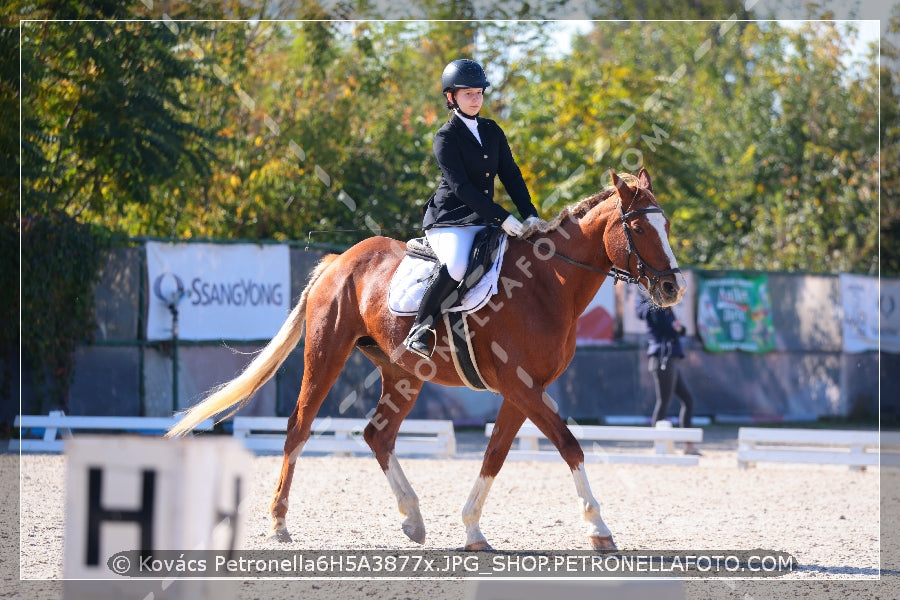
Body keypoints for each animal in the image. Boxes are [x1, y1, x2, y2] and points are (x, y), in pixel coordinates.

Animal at [169, 169, 684, 552]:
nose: (672, 287)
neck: (547, 284)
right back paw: (279, 523)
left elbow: (495, 455)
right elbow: (569, 445)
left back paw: (413, 519)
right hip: (326, 354)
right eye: (638, 228)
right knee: (299, 427)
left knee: (377, 435)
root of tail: (339, 260)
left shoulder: (522, 391)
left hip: (403, 374)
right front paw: (599, 529)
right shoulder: (521, 387)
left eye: (668, 227)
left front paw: (472, 529)